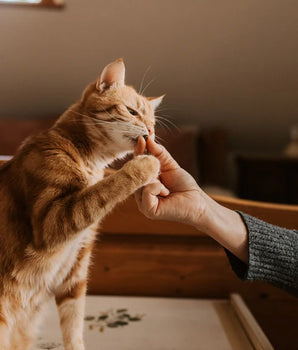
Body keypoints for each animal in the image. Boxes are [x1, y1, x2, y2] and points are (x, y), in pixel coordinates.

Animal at [0, 58, 163, 348]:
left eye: (152, 120)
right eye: (132, 111)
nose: (152, 131)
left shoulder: (75, 270)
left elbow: (74, 326)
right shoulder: (50, 223)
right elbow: (105, 188)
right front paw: (145, 165)